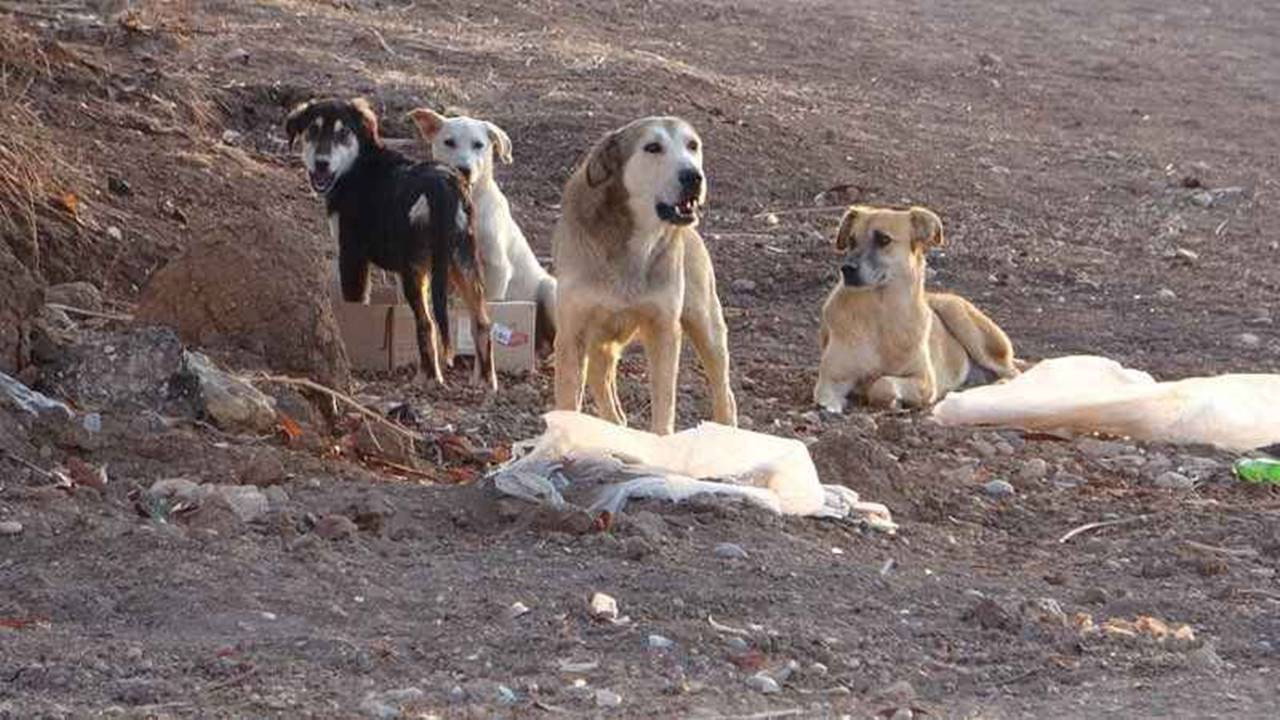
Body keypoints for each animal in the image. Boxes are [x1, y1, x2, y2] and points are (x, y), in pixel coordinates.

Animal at [286, 96, 494, 386]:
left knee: (427, 323)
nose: (321, 163)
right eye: (312, 130)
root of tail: (442, 185)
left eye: (343, 133)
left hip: (415, 270)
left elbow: (357, 305)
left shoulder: (352, 255)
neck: (359, 164)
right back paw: (486, 383)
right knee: (482, 322)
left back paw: (429, 378)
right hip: (462, 262)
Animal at [552, 114, 742, 435]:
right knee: (608, 395)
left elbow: (664, 405)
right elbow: (568, 403)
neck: (632, 243)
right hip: (599, 342)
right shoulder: (572, 333)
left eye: (693, 145)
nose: (693, 176)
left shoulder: (663, 328)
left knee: (724, 393)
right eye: (652, 147)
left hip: (706, 325)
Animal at [814, 204, 1013, 412]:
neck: (881, 314)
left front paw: (893, 400)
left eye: (883, 239)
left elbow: (883, 383)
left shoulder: (925, 381)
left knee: (1012, 371)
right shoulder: (830, 379)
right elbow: (826, 395)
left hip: (961, 319)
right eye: (851, 240)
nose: (846, 269)